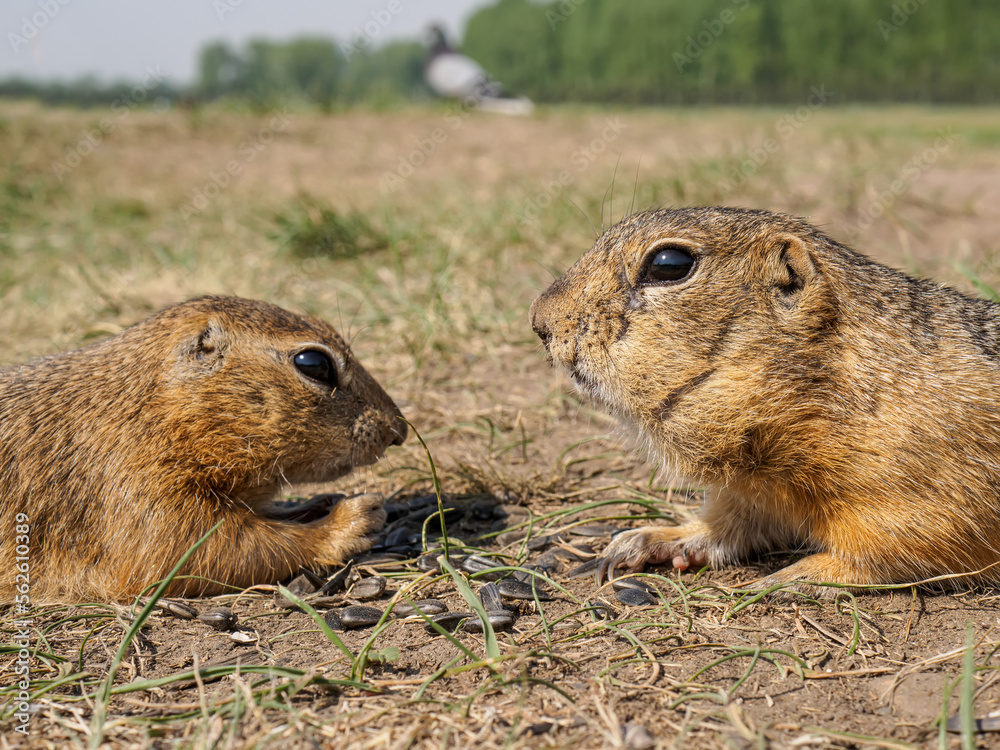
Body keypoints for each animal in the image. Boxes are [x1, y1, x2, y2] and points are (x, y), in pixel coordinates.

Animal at [0, 296, 406, 604]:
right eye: (314, 364)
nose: (398, 431)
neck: (152, 408)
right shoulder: (139, 493)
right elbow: (208, 551)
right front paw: (351, 520)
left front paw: (317, 504)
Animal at [536, 206, 1000, 592]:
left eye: (669, 264)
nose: (538, 320)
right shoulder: (754, 492)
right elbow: (730, 526)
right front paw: (648, 540)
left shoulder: (915, 494)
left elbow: (899, 552)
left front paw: (791, 576)